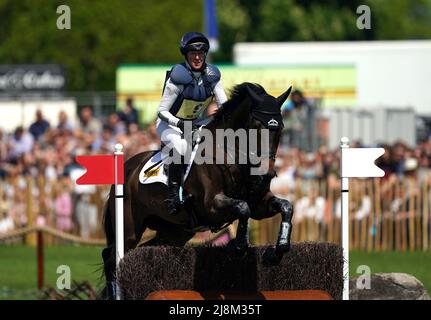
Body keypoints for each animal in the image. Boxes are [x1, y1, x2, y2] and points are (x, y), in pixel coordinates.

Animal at [103, 82, 296, 298]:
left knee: (143, 250)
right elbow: (242, 208)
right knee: (112, 260)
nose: (267, 174)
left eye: (280, 129)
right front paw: (237, 246)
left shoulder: (260, 205)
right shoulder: (211, 206)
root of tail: (127, 166)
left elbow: (286, 207)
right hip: (129, 230)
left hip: (174, 233)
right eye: (256, 127)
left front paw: (276, 252)